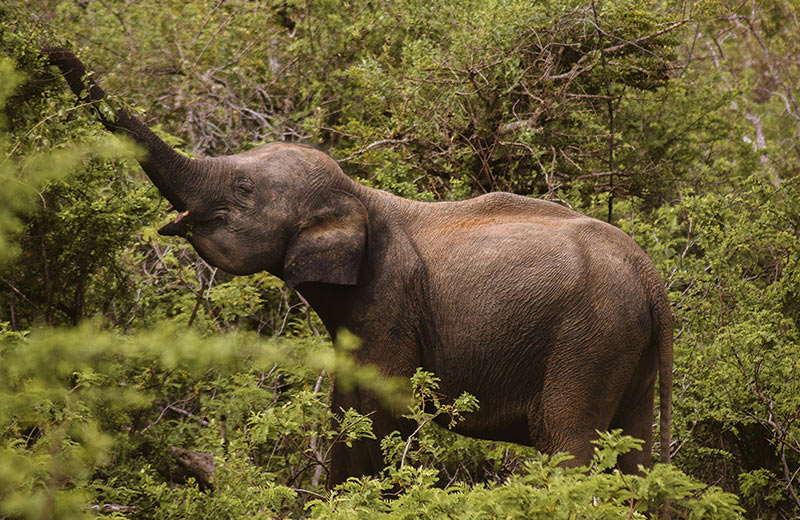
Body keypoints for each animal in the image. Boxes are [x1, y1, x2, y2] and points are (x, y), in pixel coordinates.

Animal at [42, 47, 668, 488]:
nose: (49, 49)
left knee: (569, 441)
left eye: (243, 189)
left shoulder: (389, 300)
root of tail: (650, 276)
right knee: (632, 453)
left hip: (588, 339)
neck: (359, 193)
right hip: (624, 344)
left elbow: (374, 411)